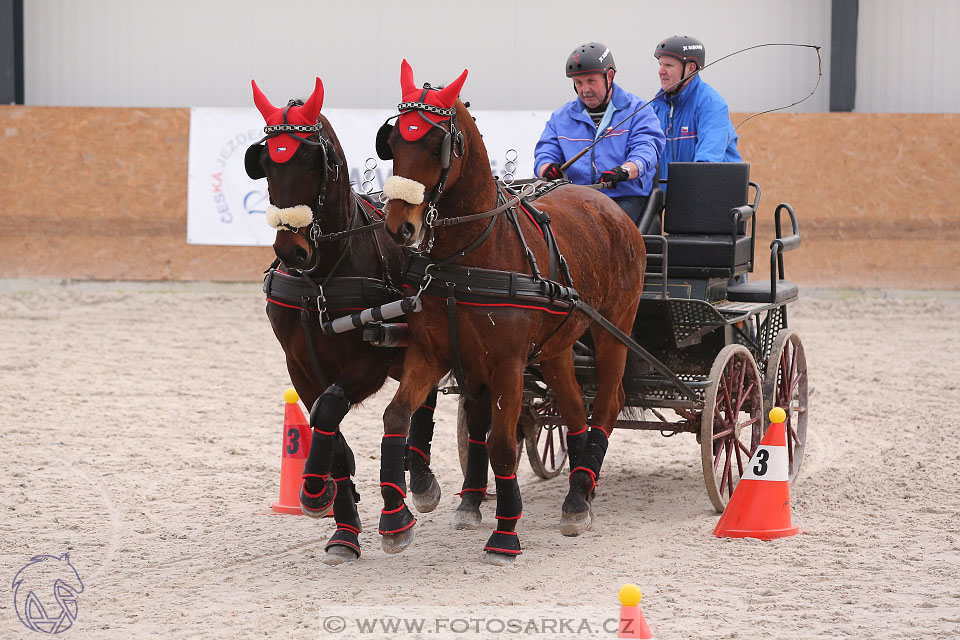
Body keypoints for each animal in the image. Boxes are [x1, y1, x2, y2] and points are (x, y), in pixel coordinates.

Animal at [248, 76, 442, 564]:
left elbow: (331, 406)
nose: (291, 251)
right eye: (265, 162)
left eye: (312, 161)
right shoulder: (299, 366)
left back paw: (424, 480)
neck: (320, 278)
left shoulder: (369, 364)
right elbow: (322, 418)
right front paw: (342, 522)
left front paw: (318, 493)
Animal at [376, 58, 644, 560]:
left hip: (613, 329)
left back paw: (582, 492)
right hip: (556, 347)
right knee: (573, 410)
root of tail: (603, 200)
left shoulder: (507, 364)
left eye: (435, 144)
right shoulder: (433, 353)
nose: (400, 226)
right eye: (394, 140)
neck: (468, 256)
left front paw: (505, 533)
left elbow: (501, 444)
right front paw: (396, 520)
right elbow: (397, 417)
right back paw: (578, 495)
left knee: (606, 406)